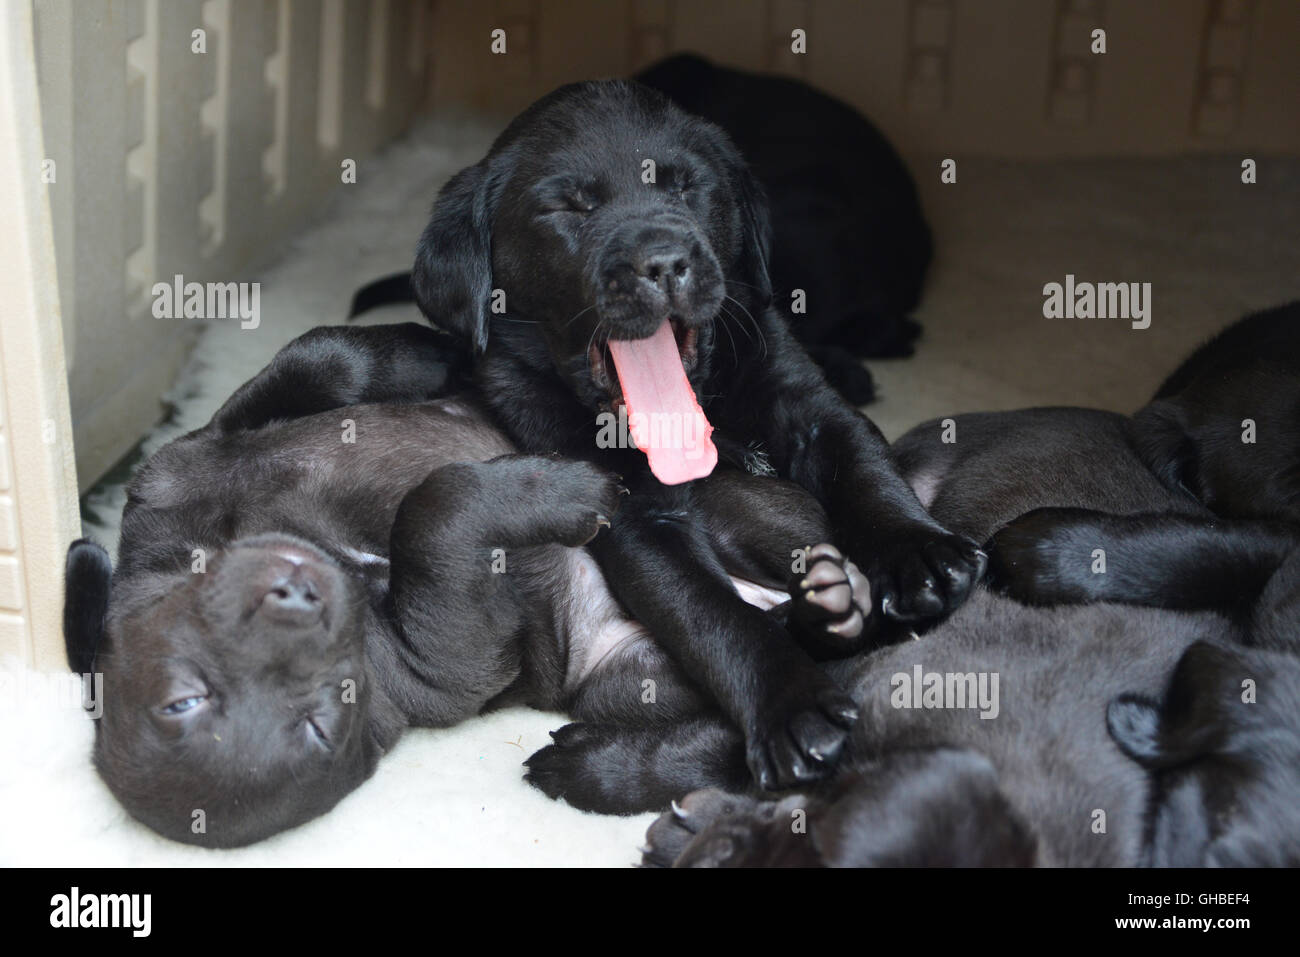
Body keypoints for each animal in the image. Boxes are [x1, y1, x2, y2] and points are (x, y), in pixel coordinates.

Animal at [63, 323, 873, 842]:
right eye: (320, 722)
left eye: (185, 697)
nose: (304, 595)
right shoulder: (442, 656)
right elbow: (434, 515)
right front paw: (565, 491)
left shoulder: (185, 460)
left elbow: (322, 359)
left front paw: (438, 350)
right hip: (629, 679)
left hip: (733, 512)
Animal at [405, 76, 982, 790]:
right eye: (569, 206)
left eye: (685, 188)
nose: (663, 262)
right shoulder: (628, 514)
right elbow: (711, 615)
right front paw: (790, 703)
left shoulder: (810, 405)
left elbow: (868, 471)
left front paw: (917, 551)